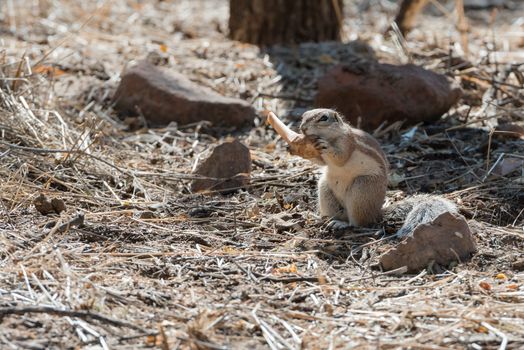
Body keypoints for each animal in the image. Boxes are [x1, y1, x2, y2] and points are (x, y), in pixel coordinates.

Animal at [300, 108, 456, 237]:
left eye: (324, 118)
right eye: (303, 115)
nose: (303, 128)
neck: (332, 136)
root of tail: (376, 212)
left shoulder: (347, 143)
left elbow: (340, 158)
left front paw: (325, 146)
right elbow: (321, 162)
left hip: (361, 188)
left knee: (358, 223)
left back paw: (342, 224)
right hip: (325, 188)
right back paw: (323, 219)